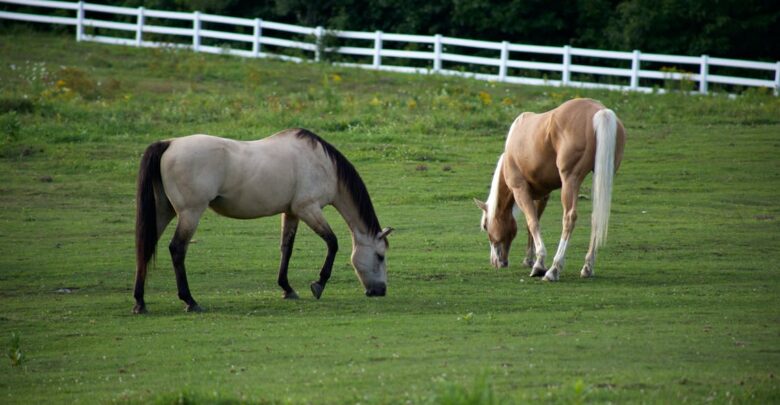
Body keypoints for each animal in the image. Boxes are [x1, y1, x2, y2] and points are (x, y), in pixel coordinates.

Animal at [472, 98, 624, 280]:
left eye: (485, 226)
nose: (496, 262)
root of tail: (600, 111)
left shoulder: (520, 190)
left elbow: (532, 223)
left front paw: (539, 265)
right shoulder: (542, 195)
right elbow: (532, 223)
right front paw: (529, 260)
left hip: (570, 180)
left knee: (569, 218)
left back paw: (554, 269)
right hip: (601, 177)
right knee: (596, 217)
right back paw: (587, 267)